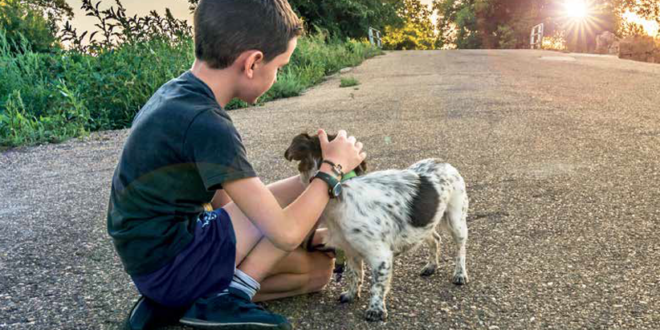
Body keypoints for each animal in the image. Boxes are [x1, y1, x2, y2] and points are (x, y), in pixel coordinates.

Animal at [284, 133, 470, 320]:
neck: (341, 190)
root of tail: (442, 161)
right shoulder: (350, 250)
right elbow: (354, 274)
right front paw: (352, 294)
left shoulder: (381, 256)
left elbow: (377, 285)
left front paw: (375, 309)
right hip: (424, 224)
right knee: (435, 239)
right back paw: (431, 266)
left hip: (456, 221)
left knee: (460, 250)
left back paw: (460, 274)